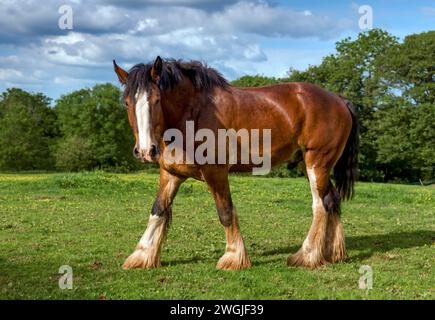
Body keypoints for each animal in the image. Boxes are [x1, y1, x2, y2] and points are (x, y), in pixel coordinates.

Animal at [113, 55, 362, 270]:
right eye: (127, 103)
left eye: (156, 100)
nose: (146, 151)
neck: (193, 113)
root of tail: (339, 100)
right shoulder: (171, 173)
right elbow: (158, 210)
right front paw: (141, 255)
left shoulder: (215, 172)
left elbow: (225, 211)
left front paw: (233, 257)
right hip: (315, 166)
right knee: (332, 200)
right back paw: (333, 253)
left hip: (316, 164)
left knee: (320, 205)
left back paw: (307, 255)